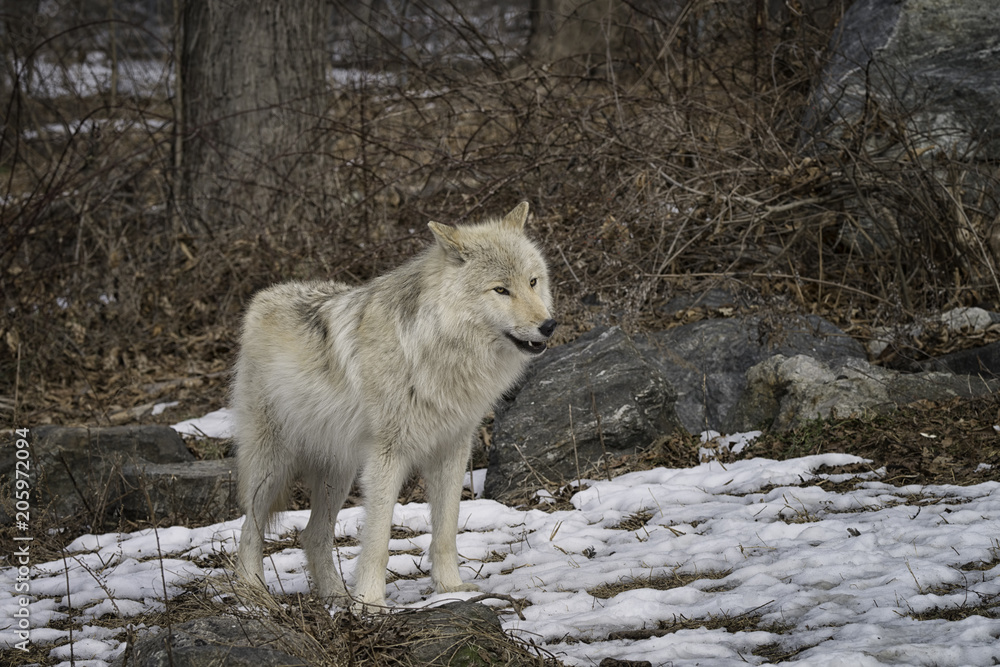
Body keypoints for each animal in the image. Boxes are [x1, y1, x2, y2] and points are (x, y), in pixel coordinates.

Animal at [233, 202, 556, 610]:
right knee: (250, 527)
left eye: (532, 282)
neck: (437, 352)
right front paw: (371, 602)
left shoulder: (452, 450)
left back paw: (336, 597)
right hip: (272, 465)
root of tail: (263, 296)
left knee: (313, 535)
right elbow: (378, 540)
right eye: (501, 289)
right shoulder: (387, 456)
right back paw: (254, 593)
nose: (549, 325)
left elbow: (446, 530)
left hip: (337, 473)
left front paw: (450, 589)